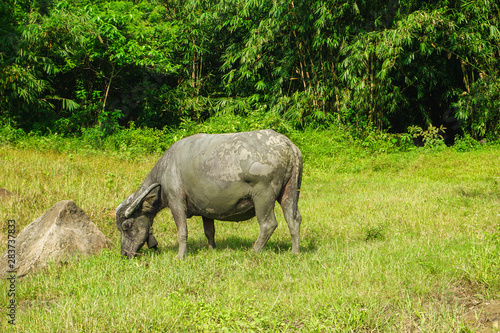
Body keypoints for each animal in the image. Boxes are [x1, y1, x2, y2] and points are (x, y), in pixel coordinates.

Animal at [115, 128, 302, 258]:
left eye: (127, 226)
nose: (124, 254)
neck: (168, 168)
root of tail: (289, 145)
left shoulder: (176, 202)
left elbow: (182, 231)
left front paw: (180, 256)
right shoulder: (206, 210)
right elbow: (209, 231)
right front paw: (212, 249)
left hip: (263, 196)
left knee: (268, 224)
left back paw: (254, 250)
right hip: (289, 191)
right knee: (294, 219)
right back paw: (295, 252)